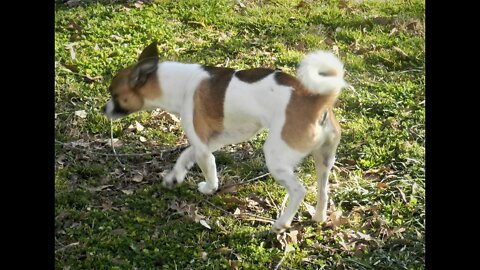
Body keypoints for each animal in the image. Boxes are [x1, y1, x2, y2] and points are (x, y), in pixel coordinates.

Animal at [103, 41, 346, 233]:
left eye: (115, 95)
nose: (103, 109)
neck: (180, 83)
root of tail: (316, 101)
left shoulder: (203, 147)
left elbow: (208, 170)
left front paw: (209, 189)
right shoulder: (211, 140)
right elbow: (185, 155)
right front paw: (174, 177)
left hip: (277, 157)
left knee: (298, 191)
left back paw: (281, 223)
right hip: (324, 160)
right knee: (323, 191)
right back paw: (318, 217)